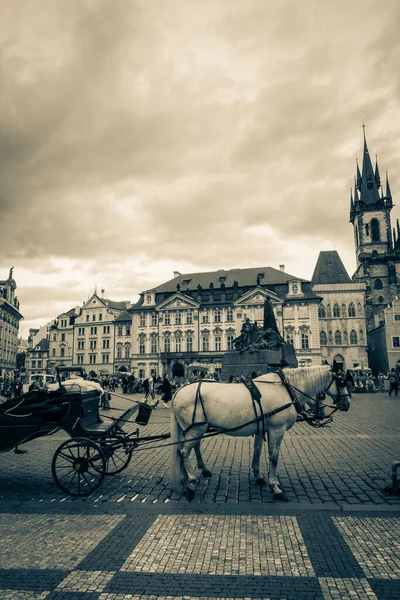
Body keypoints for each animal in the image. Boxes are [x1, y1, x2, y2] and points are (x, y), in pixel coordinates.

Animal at [170, 366, 350, 502]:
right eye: (342, 382)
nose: (347, 403)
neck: (286, 389)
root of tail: (179, 390)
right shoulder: (277, 430)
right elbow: (273, 456)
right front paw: (275, 487)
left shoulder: (261, 429)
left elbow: (257, 451)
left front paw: (259, 475)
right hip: (196, 429)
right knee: (183, 451)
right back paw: (191, 483)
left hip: (195, 429)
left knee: (187, 449)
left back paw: (188, 476)